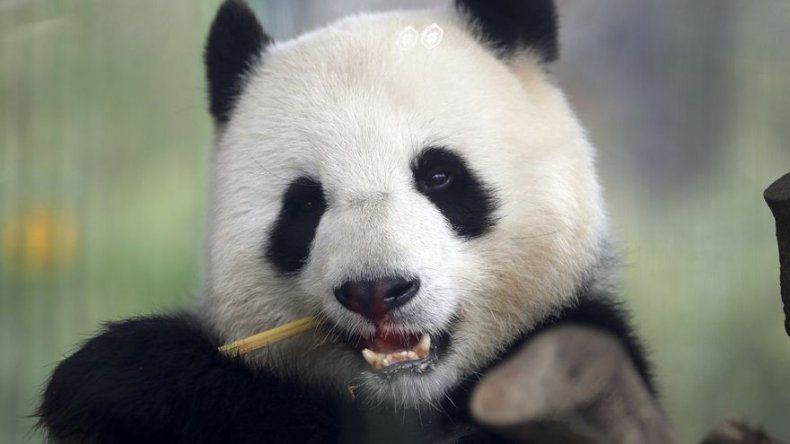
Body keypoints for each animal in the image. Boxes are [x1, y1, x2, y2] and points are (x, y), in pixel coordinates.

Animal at [38, 0, 654, 442]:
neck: (405, 398)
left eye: (439, 176)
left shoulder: (580, 356)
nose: (377, 291)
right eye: (304, 205)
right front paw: (122, 378)